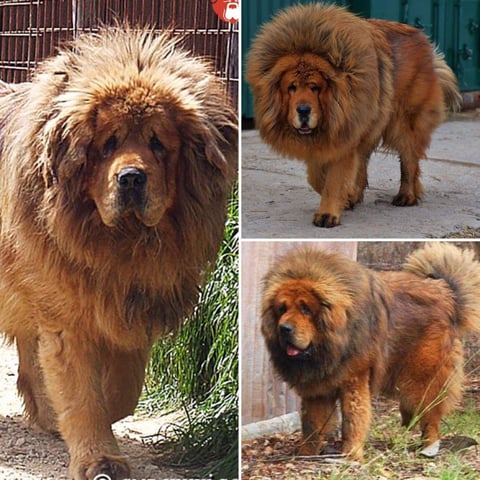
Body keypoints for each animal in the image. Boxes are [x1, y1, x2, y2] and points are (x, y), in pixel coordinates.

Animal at [0, 27, 238, 480]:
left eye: (158, 144)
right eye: (107, 144)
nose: (131, 178)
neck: (121, 246)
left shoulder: (135, 303)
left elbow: (124, 389)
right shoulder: (67, 312)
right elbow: (82, 392)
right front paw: (98, 459)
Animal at [248, 3, 462, 228]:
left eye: (315, 87)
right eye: (292, 87)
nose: (303, 110)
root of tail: (422, 37)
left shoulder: (345, 135)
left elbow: (334, 179)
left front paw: (328, 213)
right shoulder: (330, 140)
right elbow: (317, 177)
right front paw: (343, 197)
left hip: (402, 124)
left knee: (409, 160)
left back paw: (407, 196)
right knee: (364, 163)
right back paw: (357, 196)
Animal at [260, 246, 480, 460]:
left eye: (306, 309)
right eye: (282, 309)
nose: (284, 328)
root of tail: (445, 292)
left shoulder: (354, 381)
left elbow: (353, 419)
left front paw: (351, 455)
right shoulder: (317, 390)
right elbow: (312, 426)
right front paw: (306, 455)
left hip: (422, 380)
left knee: (430, 416)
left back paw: (429, 448)